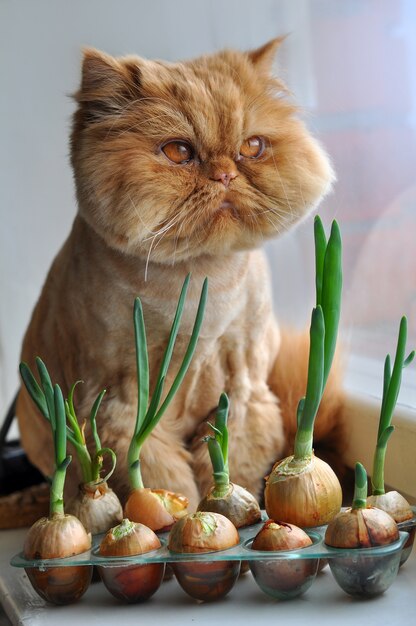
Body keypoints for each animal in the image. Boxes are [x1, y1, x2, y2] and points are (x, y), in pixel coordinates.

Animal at [16, 39, 342, 508]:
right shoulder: (121, 404)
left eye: (253, 147)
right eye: (178, 152)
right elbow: (160, 478)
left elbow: (232, 462)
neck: (199, 281)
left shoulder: (243, 388)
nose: (225, 174)